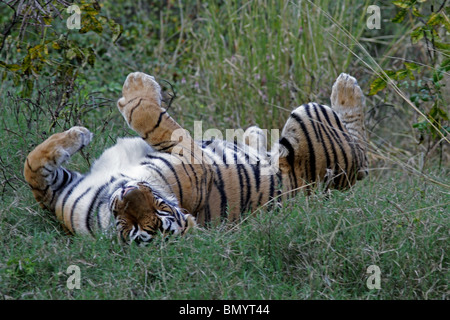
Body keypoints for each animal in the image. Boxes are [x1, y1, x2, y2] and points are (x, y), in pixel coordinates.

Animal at [23, 71, 366, 244]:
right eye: (136, 229)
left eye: (161, 211)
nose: (130, 192)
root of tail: (347, 184)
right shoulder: (55, 193)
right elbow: (32, 166)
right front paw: (78, 134)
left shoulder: (195, 162)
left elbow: (152, 119)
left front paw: (136, 85)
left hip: (308, 115)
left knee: (359, 139)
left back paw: (346, 87)